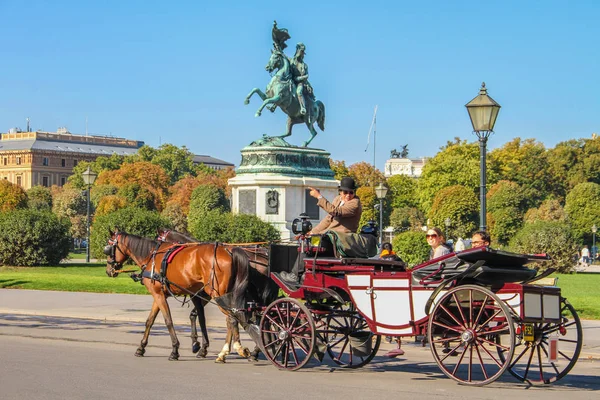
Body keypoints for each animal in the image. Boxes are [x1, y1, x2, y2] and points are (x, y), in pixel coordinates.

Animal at [105, 228, 248, 362]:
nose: (108, 271)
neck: (152, 256)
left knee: (231, 319)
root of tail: (229, 252)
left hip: (217, 294)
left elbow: (169, 321)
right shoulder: (159, 294)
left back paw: (232, 350)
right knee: (231, 319)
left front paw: (175, 349)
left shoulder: (160, 295)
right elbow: (149, 321)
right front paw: (141, 347)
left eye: (108, 247)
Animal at [156, 228, 268, 362]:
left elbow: (199, 316)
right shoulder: (206, 296)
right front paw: (199, 345)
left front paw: (198, 345)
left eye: (159, 239)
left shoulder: (202, 295)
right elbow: (195, 314)